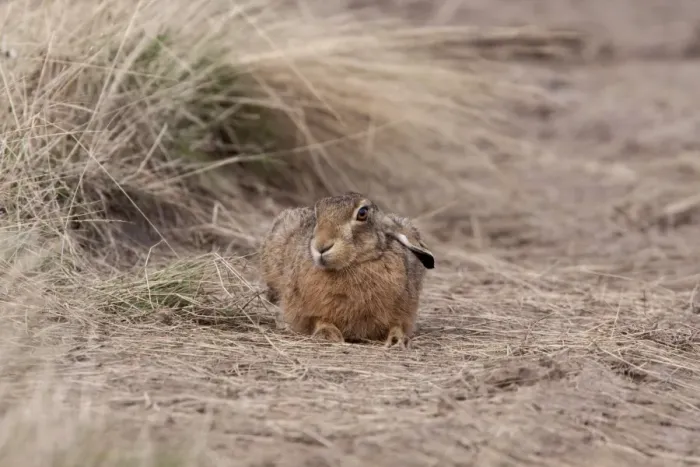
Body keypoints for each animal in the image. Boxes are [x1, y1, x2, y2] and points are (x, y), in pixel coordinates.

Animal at [259, 191, 434, 349]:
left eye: (362, 213)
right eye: (317, 215)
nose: (321, 246)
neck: (353, 265)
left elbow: (397, 325)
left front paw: (398, 340)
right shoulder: (307, 310)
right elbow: (319, 320)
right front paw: (328, 334)